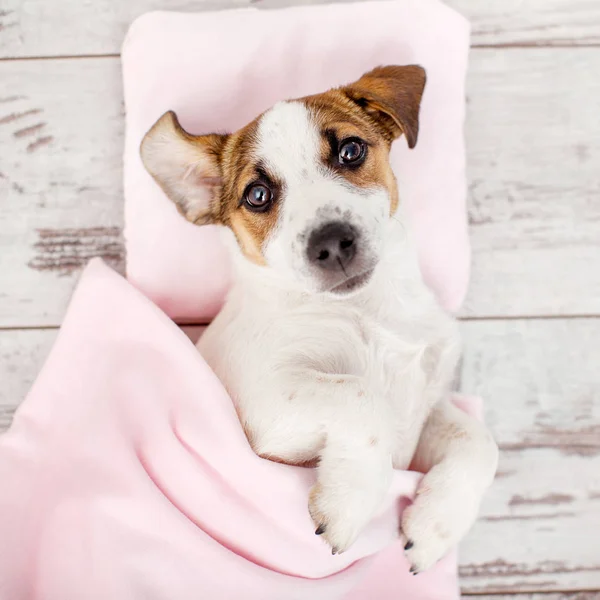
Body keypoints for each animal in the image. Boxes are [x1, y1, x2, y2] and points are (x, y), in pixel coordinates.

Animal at [139, 64, 496, 572]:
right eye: (258, 195)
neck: (366, 311)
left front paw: (436, 528)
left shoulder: (421, 412)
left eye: (351, 150)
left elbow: (479, 442)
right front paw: (350, 501)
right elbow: (360, 395)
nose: (331, 242)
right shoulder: (263, 408)